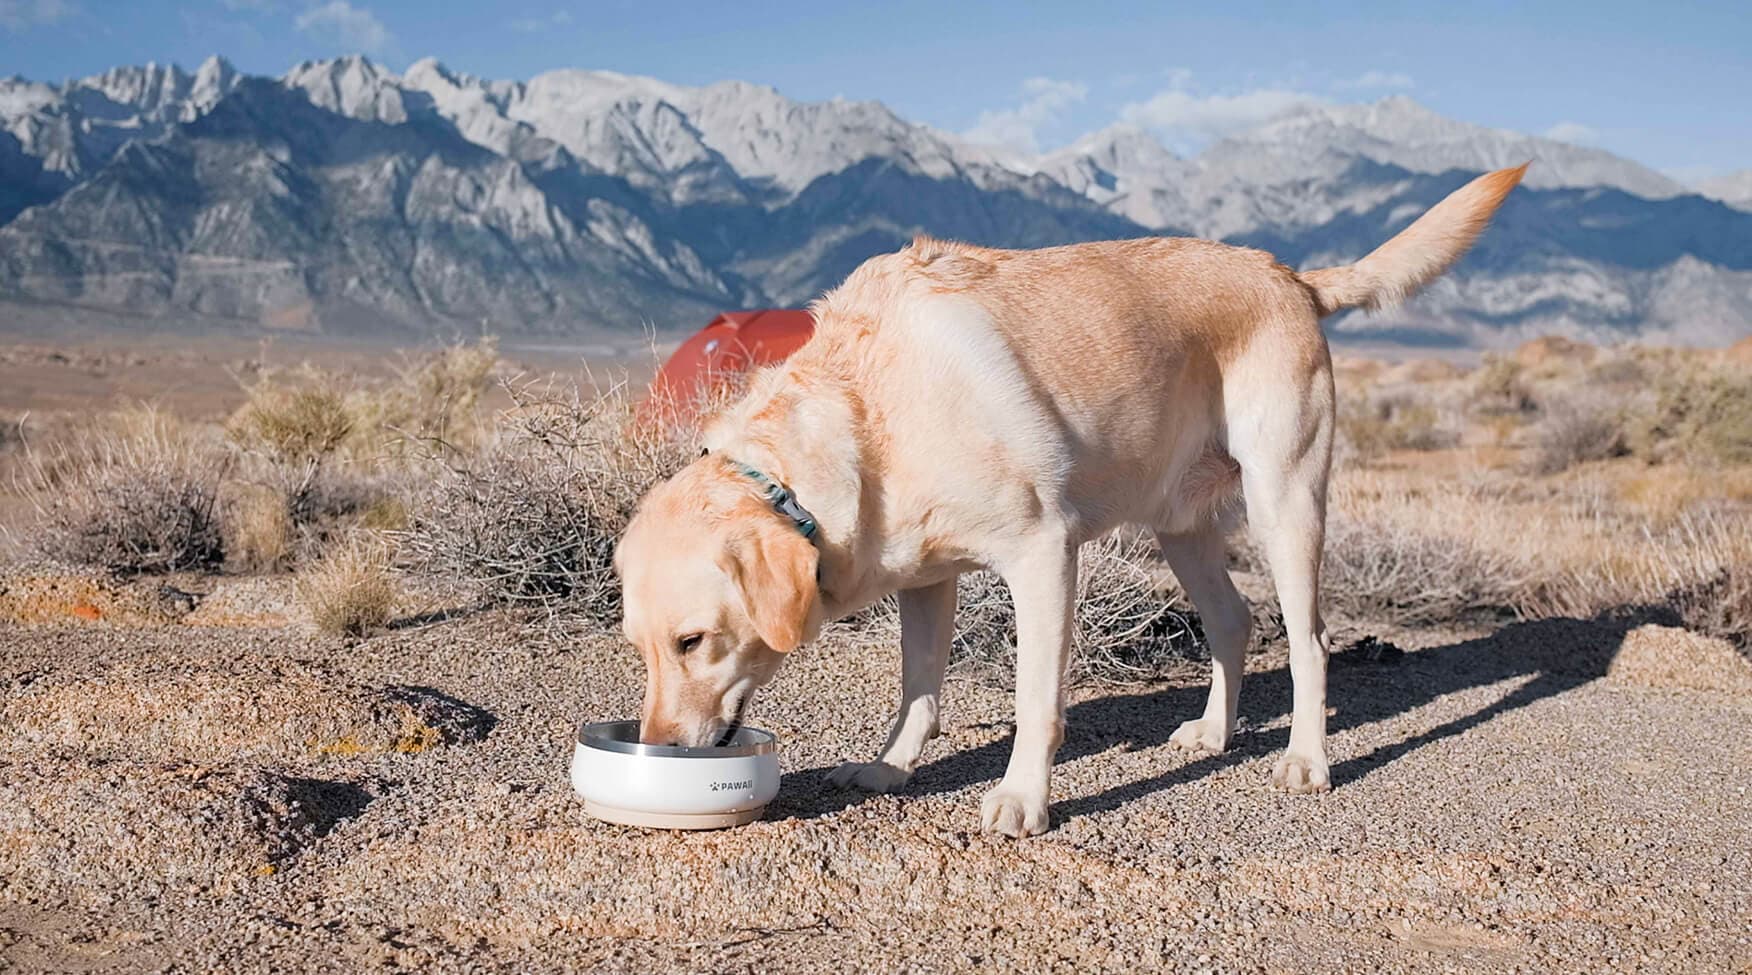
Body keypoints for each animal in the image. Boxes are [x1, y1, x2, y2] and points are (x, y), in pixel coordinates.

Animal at [616, 163, 1520, 833]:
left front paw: (1022, 799)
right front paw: (890, 764)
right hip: (1181, 525)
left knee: (1309, 640)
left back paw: (1306, 758)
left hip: (1285, 501)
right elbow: (918, 683)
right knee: (1234, 621)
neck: (867, 407)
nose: (658, 744)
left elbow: (1035, 699)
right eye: (643, 647)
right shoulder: (925, 580)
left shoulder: (1042, 553)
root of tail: (1288, 274)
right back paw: (1214, 732)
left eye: (694, 640)